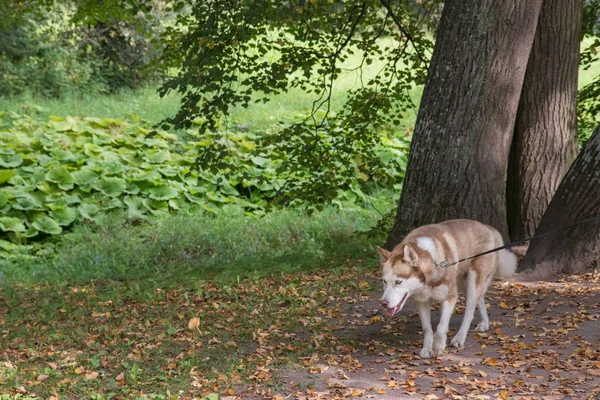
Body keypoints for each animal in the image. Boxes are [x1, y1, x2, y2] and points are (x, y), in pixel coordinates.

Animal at [380, 220, 516, 358]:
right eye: (384, 281)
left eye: (398, 282)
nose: (383, 303)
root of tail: (488, 227)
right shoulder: (422, 301)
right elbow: (427, 328)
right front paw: (427, 348)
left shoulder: (451, 296)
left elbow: (441, 327)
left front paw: (439, 346)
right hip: (464, 283)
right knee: (480, 299)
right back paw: (485, 323)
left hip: (473, 281)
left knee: (469, 312)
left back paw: (459, 337)